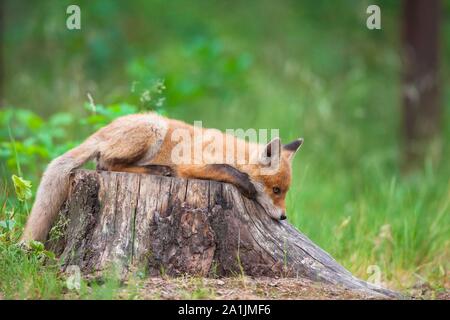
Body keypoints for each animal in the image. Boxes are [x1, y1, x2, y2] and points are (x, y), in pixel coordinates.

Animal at [21, 112, 302, 240]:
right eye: (276, 190)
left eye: (284, 191)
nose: (283, 217)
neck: (230, 152)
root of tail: (104, 128)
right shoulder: (190, 165)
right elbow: (227, 170)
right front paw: (247, 186)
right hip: (154, 128)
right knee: (105, 165)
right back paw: (158, 170)